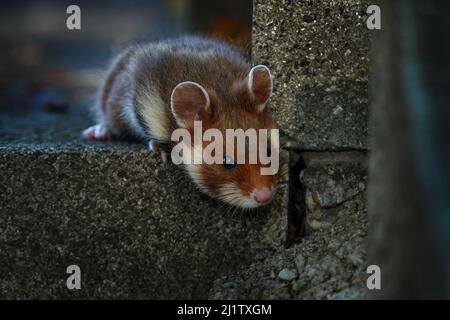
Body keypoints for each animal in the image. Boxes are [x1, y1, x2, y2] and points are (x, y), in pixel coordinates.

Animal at [82, 36, 276, 209]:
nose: (265, 197)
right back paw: (98, 132)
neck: (219, 86)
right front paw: (160, 151)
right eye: (227, 162)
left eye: (268, 151)